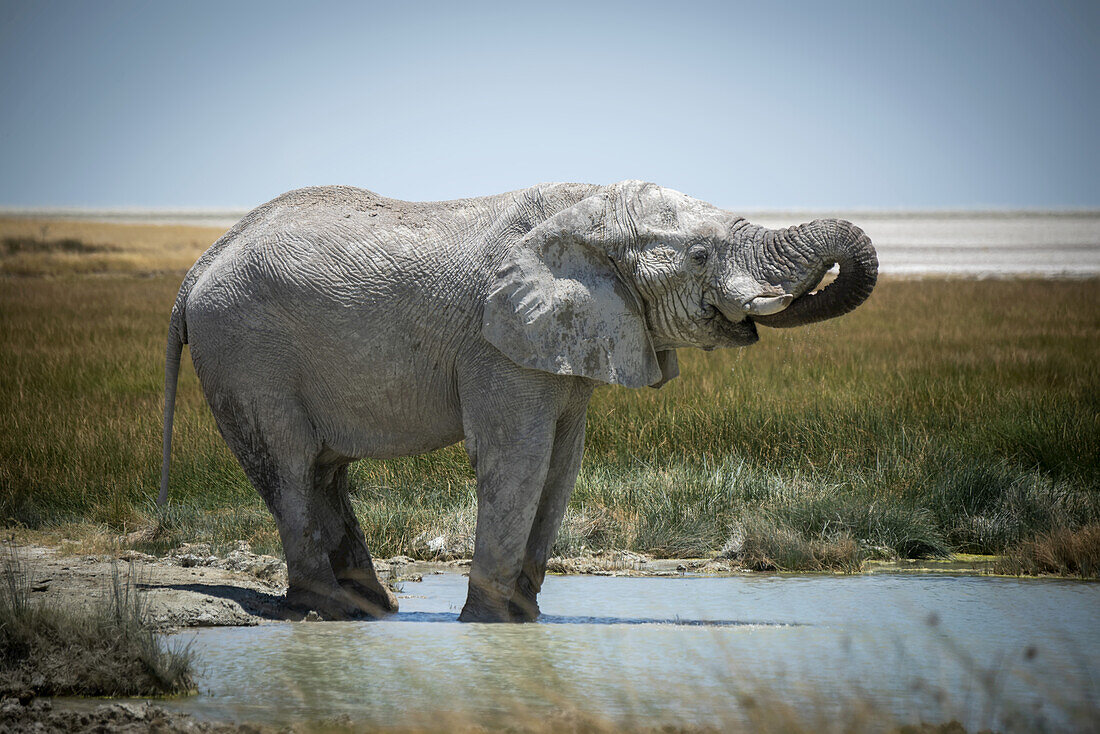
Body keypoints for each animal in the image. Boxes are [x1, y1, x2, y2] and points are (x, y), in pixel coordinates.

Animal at [157, 180, 875, 625]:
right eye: (700, 255)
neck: (586, 207)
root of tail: (197, 267)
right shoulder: (497, 345)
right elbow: (519, 459)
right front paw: (492, 622)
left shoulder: (570, 343)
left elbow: (562, 464)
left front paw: (528, 618)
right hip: (245, 352)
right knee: (289, 465)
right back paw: (328, 609)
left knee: (320, 471)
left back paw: (372, 610)